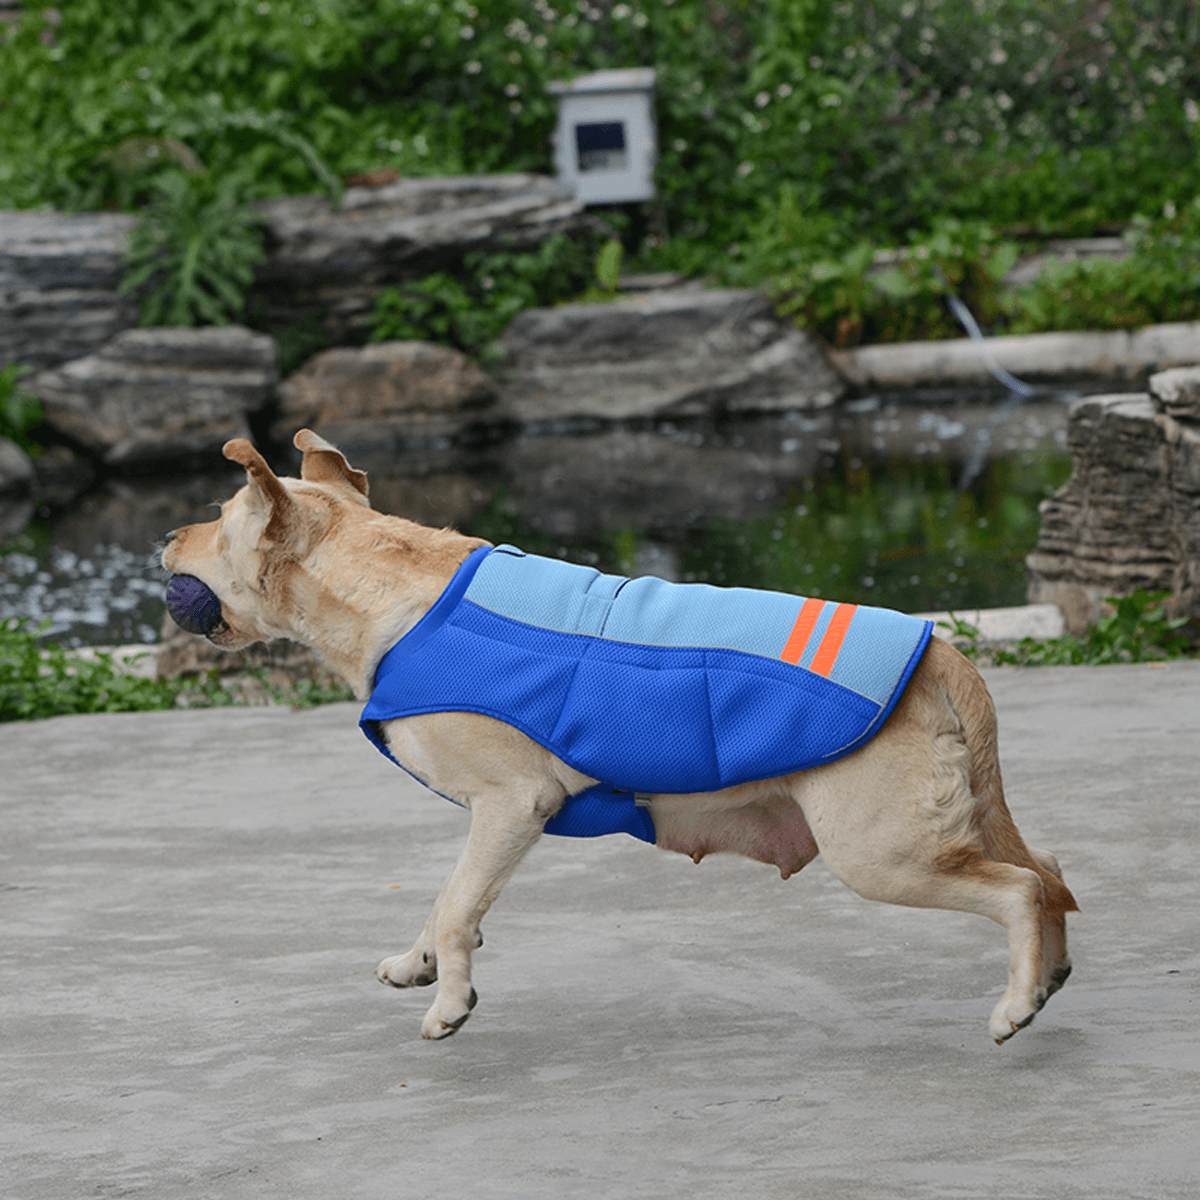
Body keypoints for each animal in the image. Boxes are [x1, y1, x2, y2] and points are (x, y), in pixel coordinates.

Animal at [162, 429, 1080, 1041]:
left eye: (216, 516)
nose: (167, 537)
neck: (388, 592)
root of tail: (942, 652)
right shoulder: (488, 824)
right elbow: (447, 897)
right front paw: (420, 962)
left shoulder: (513, 804)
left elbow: (457, 905)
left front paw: (449, 997)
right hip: (943, 828)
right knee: (1048, 872)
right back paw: (1047, 975)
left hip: (880, 855)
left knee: (1018, 889)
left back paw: (1014, 1005)